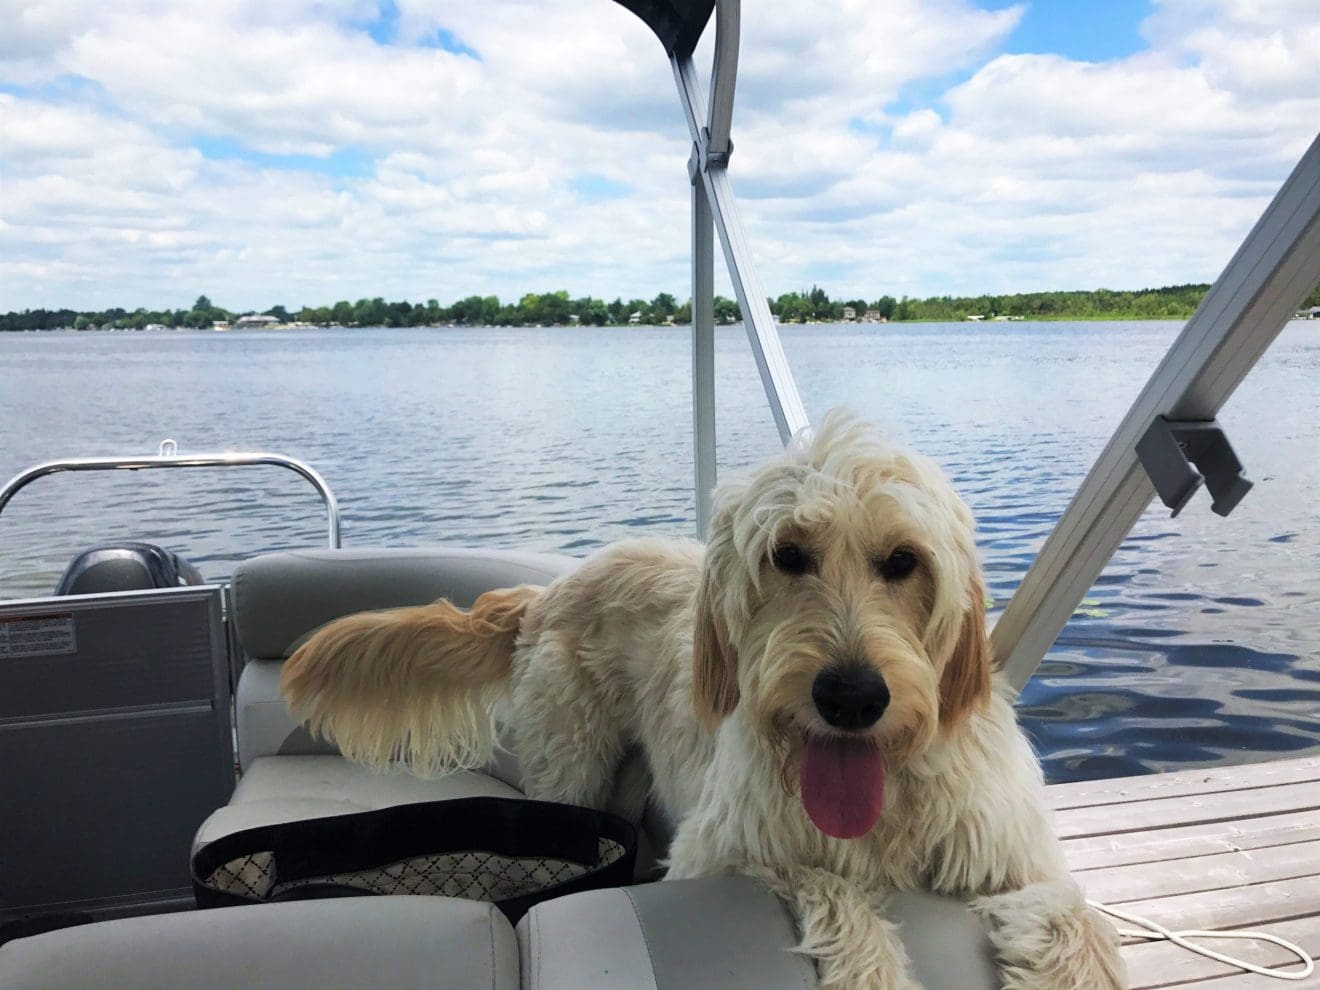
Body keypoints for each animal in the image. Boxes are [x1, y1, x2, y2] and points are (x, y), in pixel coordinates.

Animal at [281, 411, 1124, 990]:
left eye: (903, 561)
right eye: (788, 554)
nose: (850, 697)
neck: (887, 791)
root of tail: (551, 589)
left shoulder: (1013, 854)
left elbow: (1079, 920)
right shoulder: (725, 849)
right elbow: (823, 880)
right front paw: (870, 963)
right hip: (571, 769)